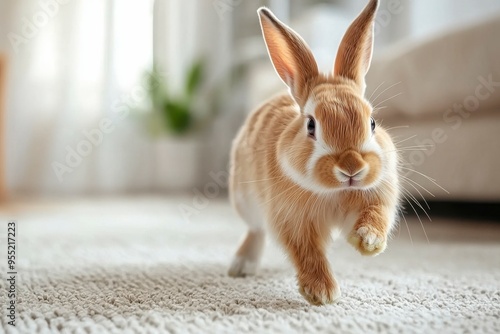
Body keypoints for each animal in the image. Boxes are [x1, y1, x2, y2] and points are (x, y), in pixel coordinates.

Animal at [229, 0, 400, 306]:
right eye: (311, 125)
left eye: (372, 123)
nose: (352, 167)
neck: (336, 191)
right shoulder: (293, 221)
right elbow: (307, 252)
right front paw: (322, 292)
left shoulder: (377, 197)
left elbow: (375, 216)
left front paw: (368, 242)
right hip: (246, 202)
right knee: (256, 230)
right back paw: (241, 266)